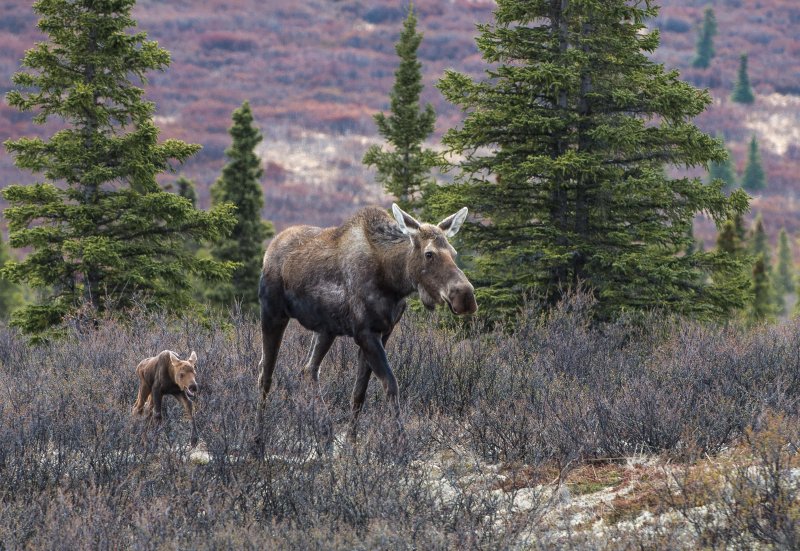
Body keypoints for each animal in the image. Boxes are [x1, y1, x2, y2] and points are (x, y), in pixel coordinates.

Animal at [260, 205, 478, 438]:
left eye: (454, 253)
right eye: (429, 254)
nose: (465, 296)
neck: (394, 281)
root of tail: (270, 248)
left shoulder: (383, 332)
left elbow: (359, 393)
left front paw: (351, 439)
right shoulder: (365, 333)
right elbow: (391, 385)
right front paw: (400, 439)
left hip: (326, 330)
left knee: (308, 369)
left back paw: (325, 428)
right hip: (273, 314)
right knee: (266, 375)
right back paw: (258, 431)